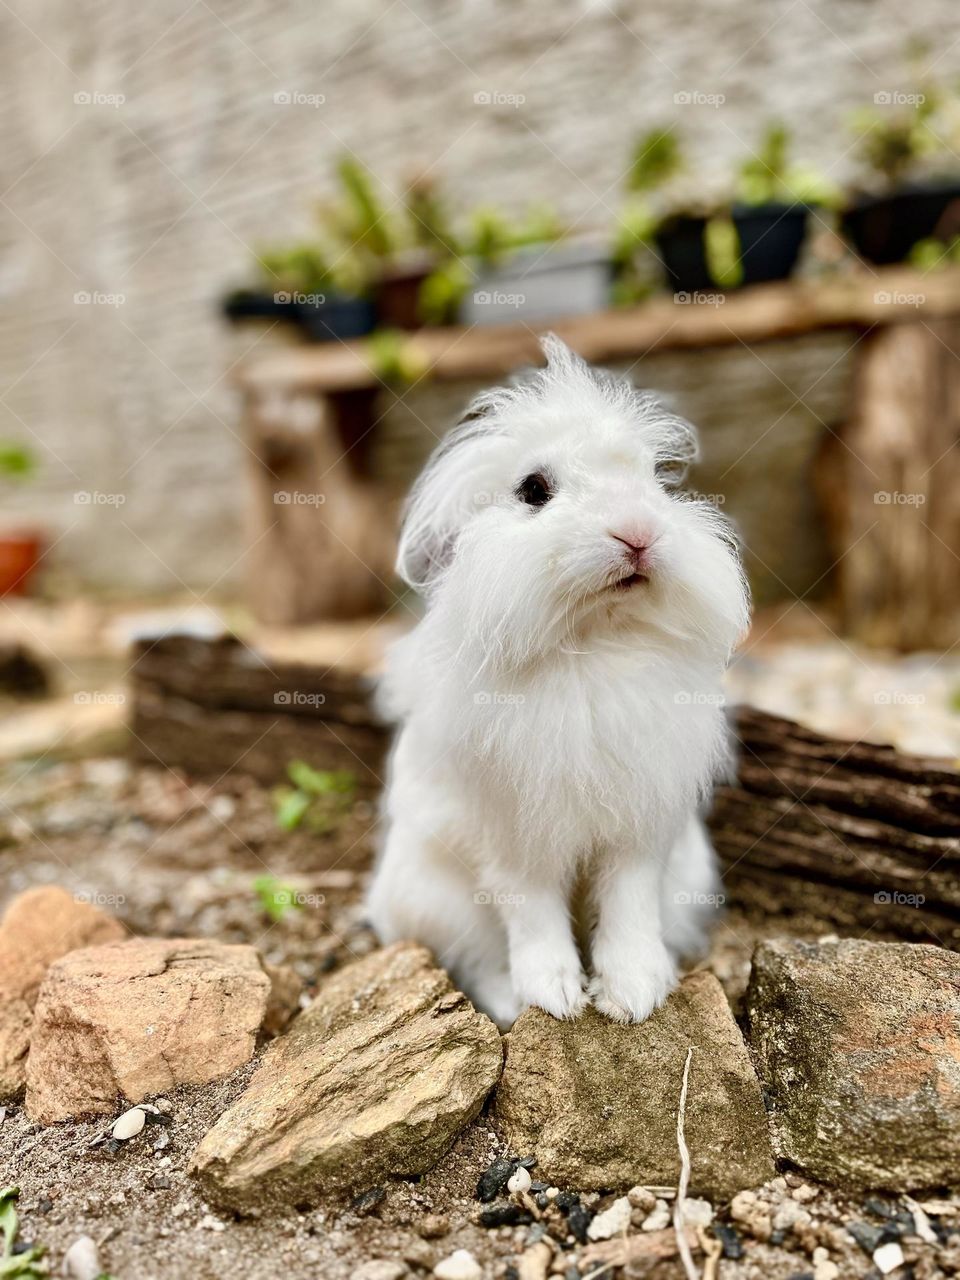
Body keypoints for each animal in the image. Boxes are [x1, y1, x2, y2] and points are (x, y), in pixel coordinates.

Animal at [367, 336, 750, 1028]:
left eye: (654, 481)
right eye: (534, 489)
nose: (638, 533)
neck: (592, 641)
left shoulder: (639, 830)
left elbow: (628, 908)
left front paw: (633, 996)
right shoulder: (515, 838)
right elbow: (533, 916)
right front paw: (557, 998)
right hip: (442, 902)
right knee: (480, 957)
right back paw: (513, 1005)